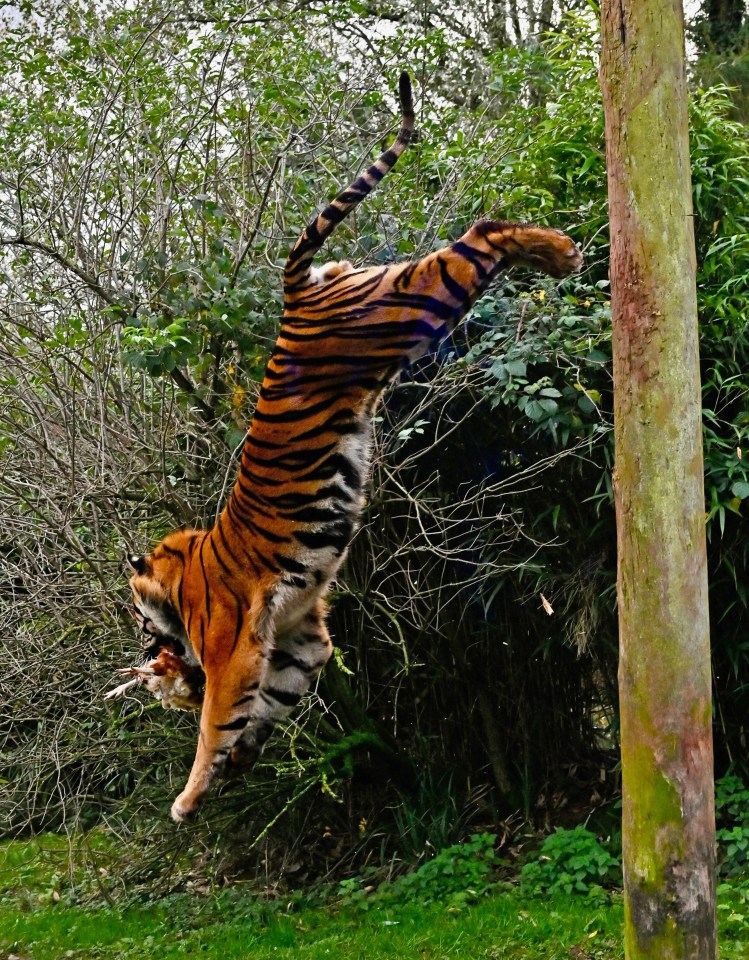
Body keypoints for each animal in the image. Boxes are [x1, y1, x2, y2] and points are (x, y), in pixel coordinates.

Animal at [120, 69, 580, 816]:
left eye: (139, 615)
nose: (140, 642)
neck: (181, 574)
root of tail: (294, 291)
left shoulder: (232, 650)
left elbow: (215, 718)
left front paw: (188, 797)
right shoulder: (298, 639)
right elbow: (268, 708)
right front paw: (241, 761)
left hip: (408, 306)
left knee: (481, 232)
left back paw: (561, 252)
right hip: (389, 295)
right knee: (480, 230)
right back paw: (559, 250)